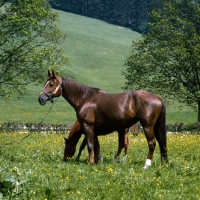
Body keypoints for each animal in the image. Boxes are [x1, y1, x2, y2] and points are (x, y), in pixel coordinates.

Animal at [38, 71, 168, 168]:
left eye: (51, 84)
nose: (40, 98)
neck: (85, 98)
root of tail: (158, 98)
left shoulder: (88, 126)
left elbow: (89, 145)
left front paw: (91, 162)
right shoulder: (94, 130)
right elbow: (96, 145)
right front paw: (98, 160)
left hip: (147, 126)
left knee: (152, 143)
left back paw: (146, 165)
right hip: (154, 127)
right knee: (161, 143)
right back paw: (163, 163)